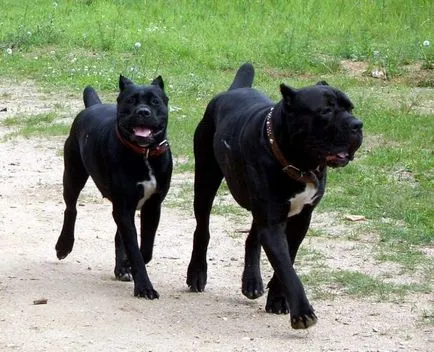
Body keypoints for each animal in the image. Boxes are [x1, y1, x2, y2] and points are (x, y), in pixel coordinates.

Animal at [56, 75, 173, 300]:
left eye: (155, 101)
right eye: (131, 101)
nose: (143, 111)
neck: (144, 154)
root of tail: (93, 106)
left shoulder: (152, 207)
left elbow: (144, 249)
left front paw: (127, 266)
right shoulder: (124, 207)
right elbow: (135, 250)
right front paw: (144, 287)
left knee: (119, 235)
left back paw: (121, 269)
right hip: (73, 175)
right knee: (71, 209)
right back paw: (64, 245)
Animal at [186, 62, 362, 328]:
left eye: (350, 108)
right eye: (325, 111)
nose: (357, 124)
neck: (298, 162)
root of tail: (234, 90)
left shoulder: (299, 219)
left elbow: (288, 259)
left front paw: (278, 299)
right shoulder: (272, 221)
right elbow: (286, 267)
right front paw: (302, 312)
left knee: (251, 238)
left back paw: (252, 282)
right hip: (206, 180)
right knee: (202, 229)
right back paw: (197, 272)